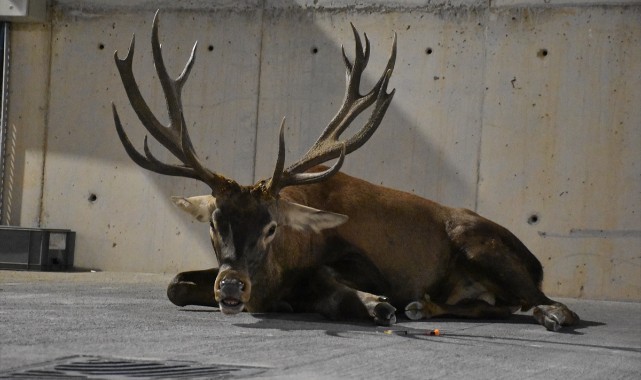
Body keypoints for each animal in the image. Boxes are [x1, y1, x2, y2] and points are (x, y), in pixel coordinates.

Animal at [111, 11, 580, 332]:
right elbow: (174, 285)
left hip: (481, 245)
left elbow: (334, 283)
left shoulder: (365, 262)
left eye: (271, 227)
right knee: (498, 304)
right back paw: (424, 306)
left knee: (554, 304)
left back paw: (544, 313)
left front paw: (373, 302)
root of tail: (537, 261)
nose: (231, 287)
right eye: (213, 221)